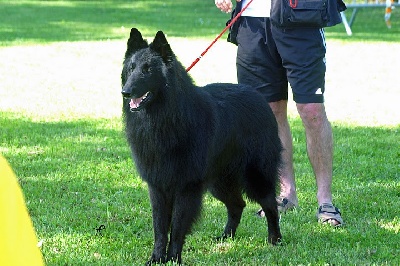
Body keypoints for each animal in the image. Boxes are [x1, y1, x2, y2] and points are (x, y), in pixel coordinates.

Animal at [122, 28, 282, 264]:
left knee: (270, 204)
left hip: (255, 176)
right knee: (238, 204)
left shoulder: (186, 187)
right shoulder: (158, 186)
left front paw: (174, 258)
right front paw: (157, 258)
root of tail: (258, 96)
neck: (165, 117)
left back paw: (275, 239)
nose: (125, 92)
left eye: (147, 70)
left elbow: (177, 227)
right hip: (219, 182)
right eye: (131, 68)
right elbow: (159, 227)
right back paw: (226, 237)